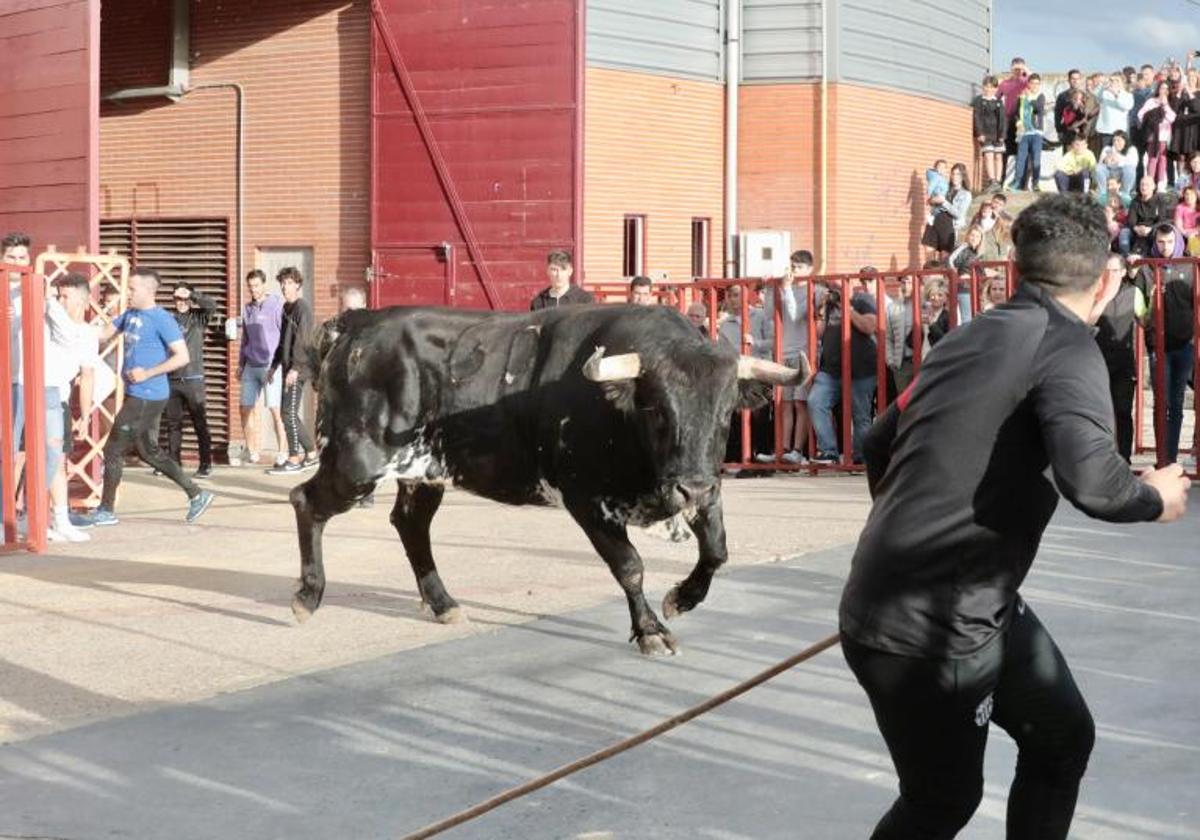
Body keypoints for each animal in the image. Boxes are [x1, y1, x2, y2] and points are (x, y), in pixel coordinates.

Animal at [288, 303, 806, 657]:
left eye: (725, 414)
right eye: (658, 410)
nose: (692, 488)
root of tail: (359, 323)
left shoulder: (702, 489)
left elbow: (717, 550)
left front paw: (682, 598)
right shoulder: (586, 499)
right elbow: (630, 566)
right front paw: (650, 630)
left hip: (423, 471)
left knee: (411, 525)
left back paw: (442, 603)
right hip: (357, 463)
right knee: (305, 501)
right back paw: (308, 596)